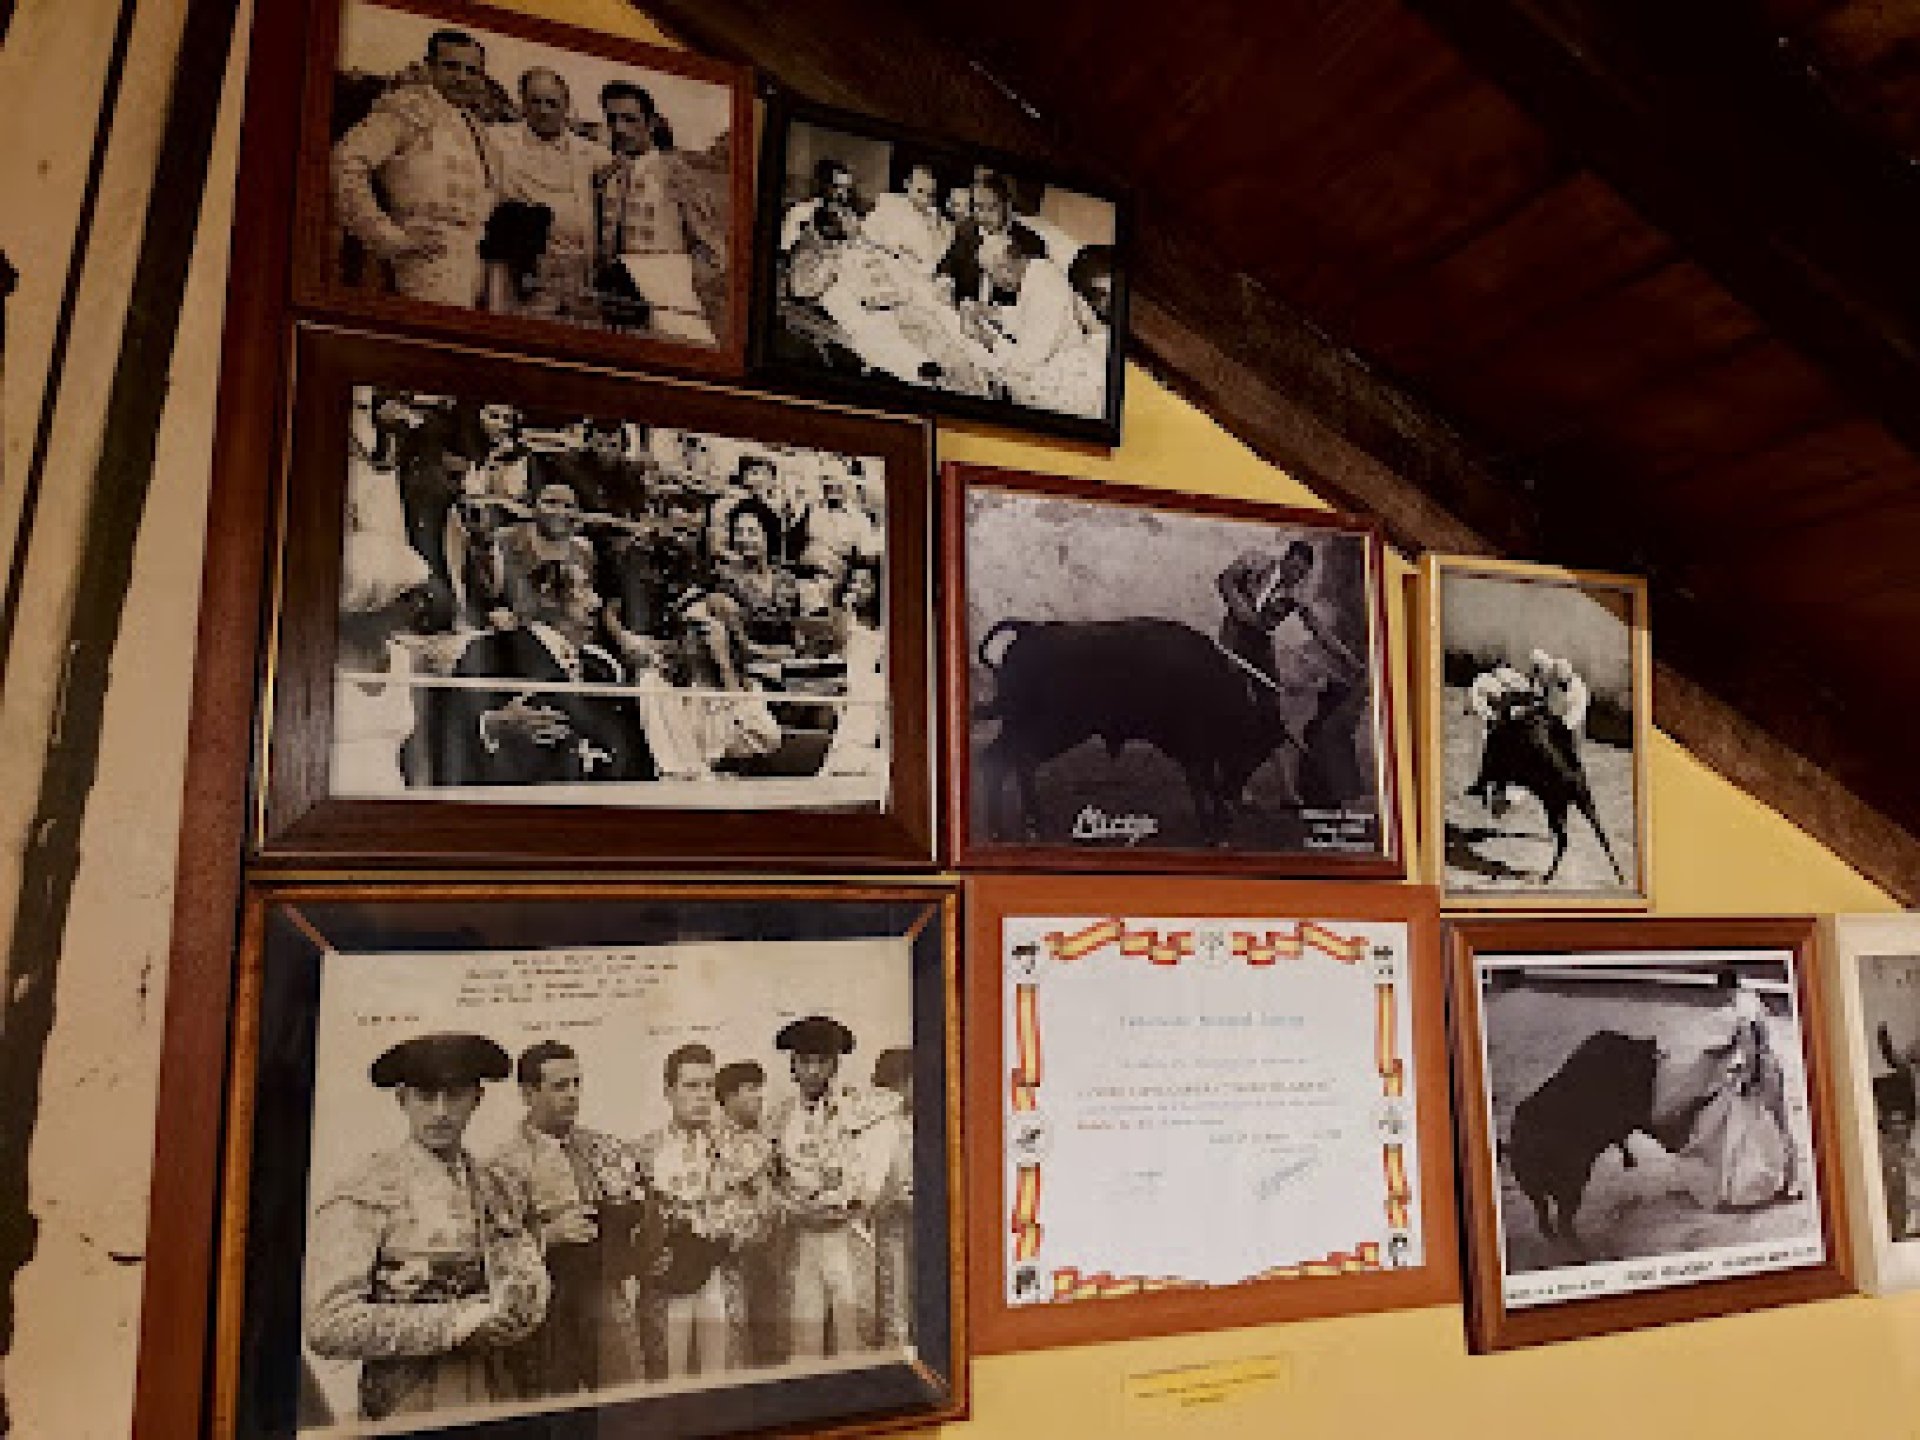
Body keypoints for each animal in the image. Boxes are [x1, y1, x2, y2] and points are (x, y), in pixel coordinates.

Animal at [973, 617, 1317, 843]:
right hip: (1051, 728)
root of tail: (1032, 631)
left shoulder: (1198, 750)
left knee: (999, 761)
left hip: (1019, 727)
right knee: (1019, 761)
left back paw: (1003, 829)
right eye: (1252, 747)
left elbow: (1203, 784)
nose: (1236, 790)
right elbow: (1203, 784)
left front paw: (1216, 825)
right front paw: (1214, 830)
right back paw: (1031, 826)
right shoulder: (1197, 747)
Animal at [1470, 703, 1623, 886]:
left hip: (1556, 806)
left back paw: (1548, 875)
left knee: (1565, 839)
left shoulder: (1498, 768)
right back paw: (1619, 876)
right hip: (1579, 803)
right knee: (1600, 835)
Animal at [1507, 1029, 1724, 1249]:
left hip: (1532, 1177)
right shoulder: (1633, 1112)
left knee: (1542, 1210)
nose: (1679, 1146)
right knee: (1562, 1213)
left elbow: (1622, 1138)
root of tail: (1517, 1144)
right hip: (1566, 1175)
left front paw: (1630, 1161)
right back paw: (1579, 1247)